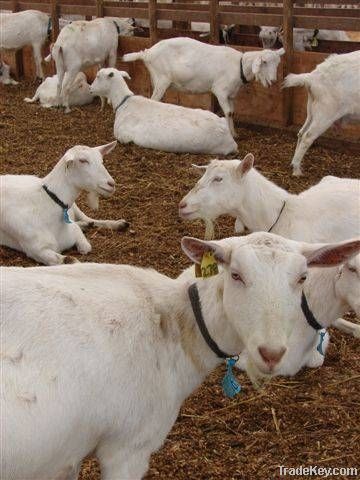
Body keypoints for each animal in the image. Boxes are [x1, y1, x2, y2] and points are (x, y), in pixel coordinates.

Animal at [0, 142, 129, 266]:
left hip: (75, 207)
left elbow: (86, 246)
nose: (111, 184)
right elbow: (71, 260)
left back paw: (118, 223)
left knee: (89, 218)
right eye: (83, 160)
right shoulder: (36, 250)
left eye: (101, 160)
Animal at [2, 231, 358, 478]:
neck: (173, 322)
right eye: (236, 275)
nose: (271, 353)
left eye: (302, 278)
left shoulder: (67, 453)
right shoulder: (129, 445)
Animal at [122, 36, 286, 135]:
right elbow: (228, 112)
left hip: (157, 80)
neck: (239, 66)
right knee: (154, 100)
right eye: (264, 62)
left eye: (278, 63)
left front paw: (234, 133)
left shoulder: (231, 95)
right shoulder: (220, 91)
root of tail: (147, 53)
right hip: (162, 79)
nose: (273, 81)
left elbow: (232, 112)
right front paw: (230, 134)